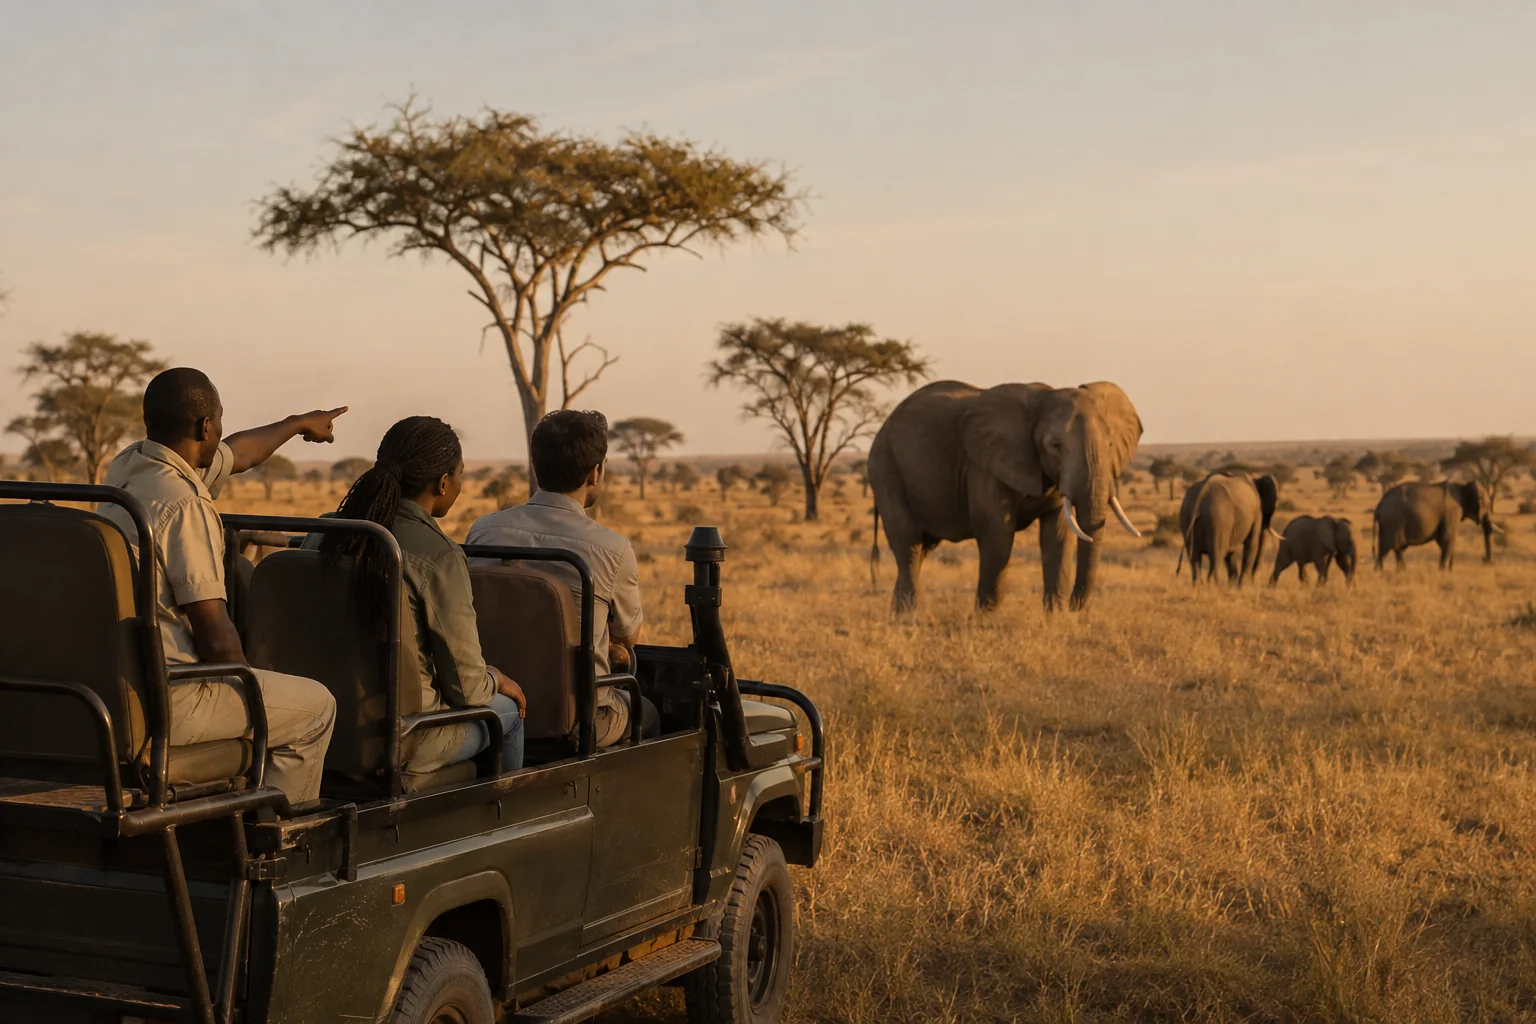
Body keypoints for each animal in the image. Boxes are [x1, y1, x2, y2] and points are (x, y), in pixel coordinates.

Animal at [868, 379, 1143, 612]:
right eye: (1055, 446)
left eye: (1110, 444)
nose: (1076, 607)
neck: (1043, 401)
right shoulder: (984, 466)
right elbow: (998, 535)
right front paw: (986, 623)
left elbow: (1058, 537)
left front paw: (1056, 620)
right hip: (886, 470)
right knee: (909, 546)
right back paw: (910, 619)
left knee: (920, 550)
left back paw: (897, 618)